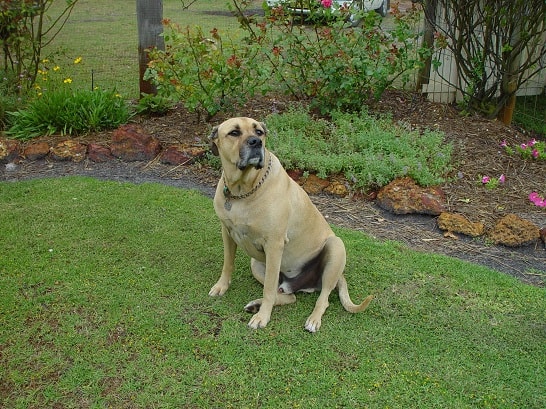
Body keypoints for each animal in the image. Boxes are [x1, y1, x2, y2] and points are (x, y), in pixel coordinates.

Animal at [206, 115, 372, 332]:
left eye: (259, 132)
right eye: (234, 132)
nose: (256, 142)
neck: (243, 189)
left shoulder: (274, 244)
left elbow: (269, 289)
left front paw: (263, 317)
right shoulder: (227, 232)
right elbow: (228, 263)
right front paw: (221, 286)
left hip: (335, 247)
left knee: (323, 298)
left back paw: (312, 319)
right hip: (257, 264)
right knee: (289, 296)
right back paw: (256, 304)